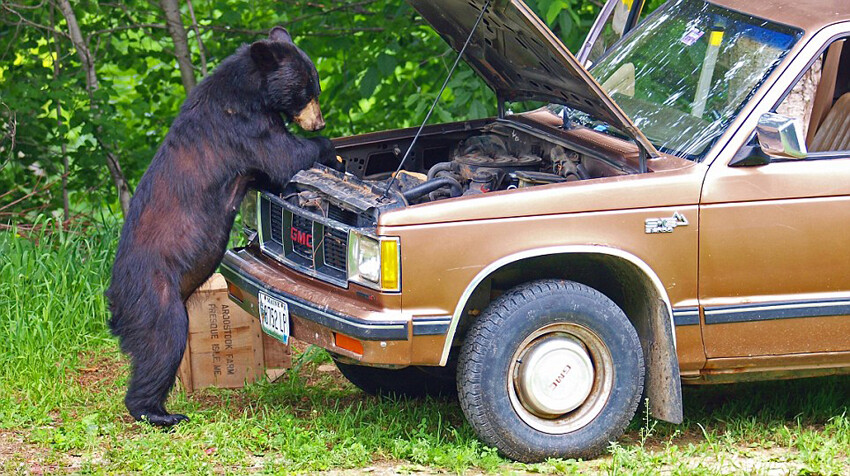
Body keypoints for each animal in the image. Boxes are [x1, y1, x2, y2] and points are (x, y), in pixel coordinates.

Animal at [104, 27, 332, 428]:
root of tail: (115, 302)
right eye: (307, 90)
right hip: (154, 294)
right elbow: (283, 156)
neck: (250, 92)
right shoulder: (241, 127)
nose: (318, 123)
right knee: (162, 343)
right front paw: (325, 146)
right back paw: (159, 412)